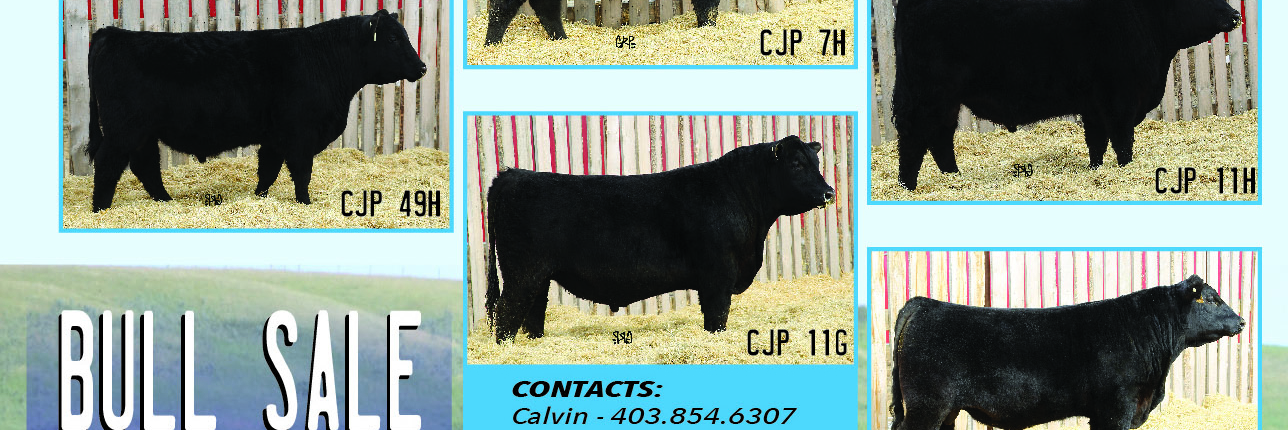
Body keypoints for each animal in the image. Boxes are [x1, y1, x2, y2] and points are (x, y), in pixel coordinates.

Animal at [85, 10, 426, 212]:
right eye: (393, 38)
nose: (422, 66)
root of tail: (112, 33)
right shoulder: (300, 134)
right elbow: (301, 173)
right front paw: (305, 204)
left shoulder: (275, 136)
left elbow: (269, 170)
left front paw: (259, 197)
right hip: (124, 129)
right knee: (108, 163)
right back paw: (100, 208)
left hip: (142, 133)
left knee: (145, 166)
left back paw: (166, 201)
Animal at [483, 135, 835, 343]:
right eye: (796, 164)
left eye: (816, 162)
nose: (828, 192)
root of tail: (512, 174)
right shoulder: (718, 275)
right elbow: (717, 317)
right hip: (522, 272)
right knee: (507, 312)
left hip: (537, 276)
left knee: (532, 312)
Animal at [889, 275, 1245, 430]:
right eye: (1212, 299)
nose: (1242, 321)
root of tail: (924, 303)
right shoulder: (1116, 409)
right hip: (926, 406)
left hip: (944, 410)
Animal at [891, 0, 1243, 190]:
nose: (1235, 15)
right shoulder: (1120, 98)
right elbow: (1122, 141)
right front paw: (1125, 169)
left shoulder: (1096, 104)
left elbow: (1097, 142)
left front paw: (1096, 169)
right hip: (928, 93)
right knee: (914, 137)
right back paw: (908, 185)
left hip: (945, 100)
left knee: (940, 138)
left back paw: (955, 178)